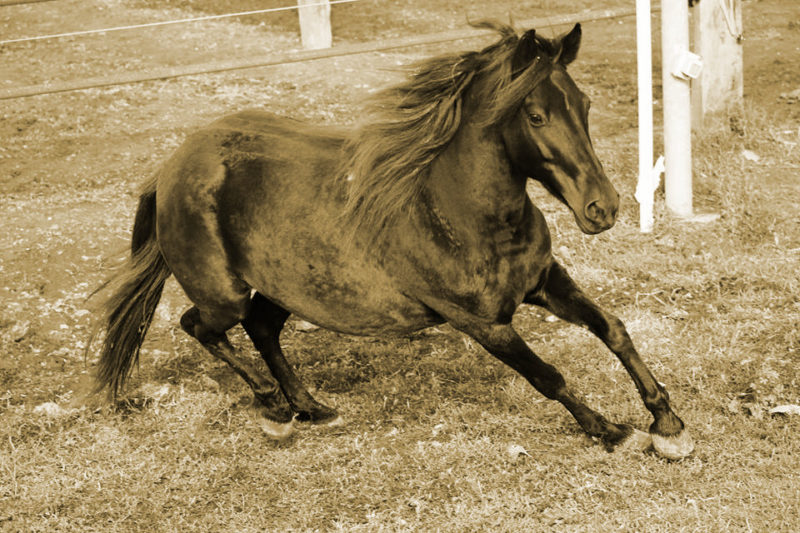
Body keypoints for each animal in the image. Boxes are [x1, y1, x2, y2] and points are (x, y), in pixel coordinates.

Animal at [92, 21, 692, 458]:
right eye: (537, 115)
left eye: (585, 105)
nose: (603, 209)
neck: (460, 213)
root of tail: (172, 165)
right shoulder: (483, 324)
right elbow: (548, 375)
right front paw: (611, 430)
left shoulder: (544, 282)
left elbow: (612, 328)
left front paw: (668, 421)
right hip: (224, 293)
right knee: (200, 326)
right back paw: (275, 411)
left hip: (288, 286)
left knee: (261, 328)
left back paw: (313, 407)